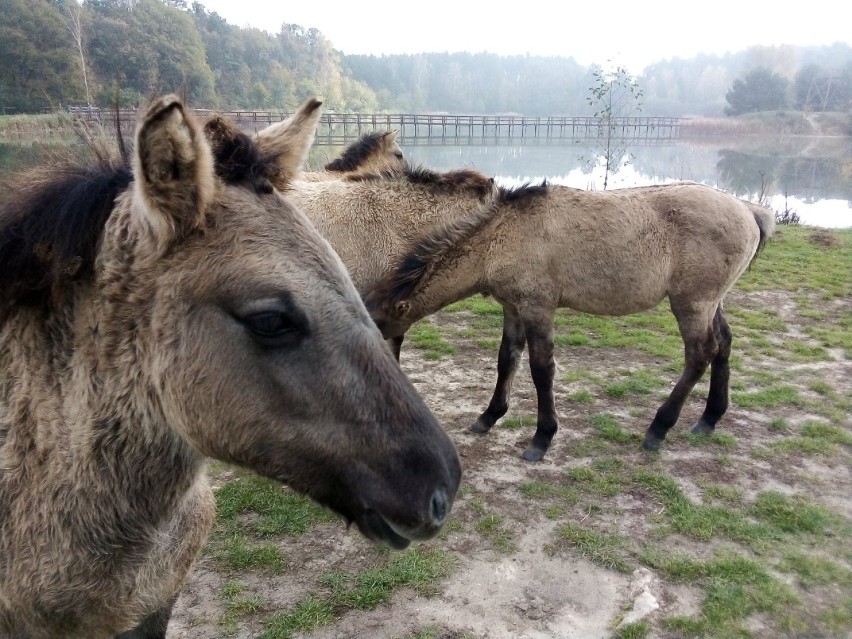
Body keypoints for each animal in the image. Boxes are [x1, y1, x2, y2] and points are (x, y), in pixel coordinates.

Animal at [362, 182, 776, 462]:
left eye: (375, 330)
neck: (502, 236)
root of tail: (749, 211)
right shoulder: (513, 307)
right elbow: (506, 360)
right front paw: (488, 417)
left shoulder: (538, 307)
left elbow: (541, 369)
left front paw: (541, 439)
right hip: (712, 301)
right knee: (724, 343)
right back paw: (709, 419)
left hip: (691, 302)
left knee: (700, 353)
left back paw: (659, 428)